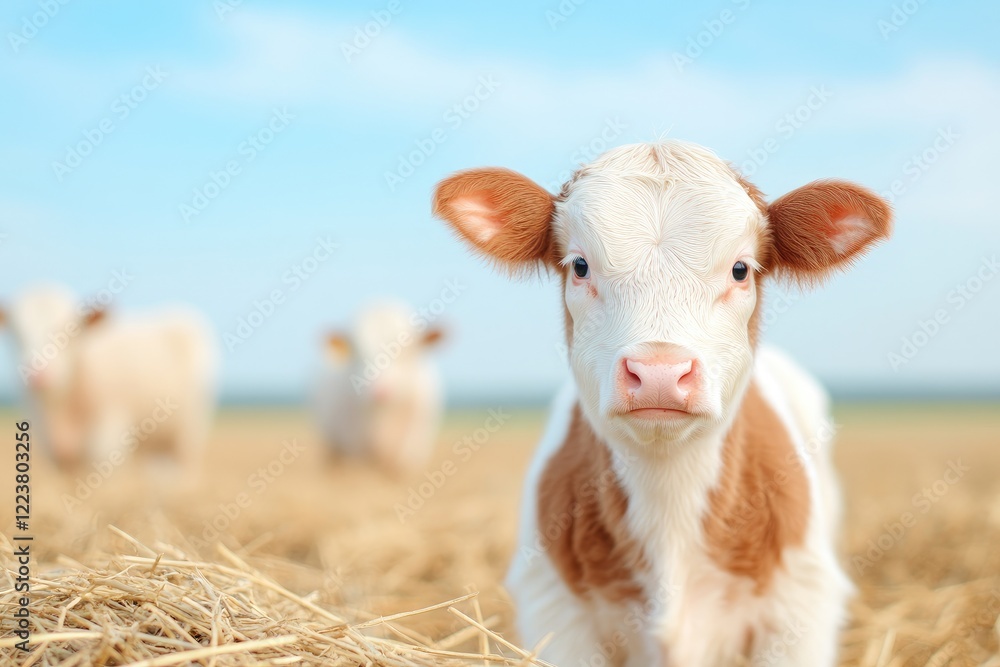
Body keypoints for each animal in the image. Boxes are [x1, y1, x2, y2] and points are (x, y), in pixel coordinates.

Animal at [0, 285, 218, 479]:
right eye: (17, 333)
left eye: (70, 331)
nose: (39, 376)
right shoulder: (49, 443)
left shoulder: (108, 436)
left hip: (190, 430)